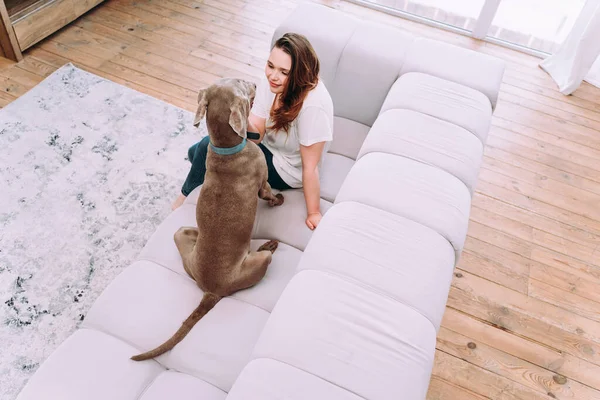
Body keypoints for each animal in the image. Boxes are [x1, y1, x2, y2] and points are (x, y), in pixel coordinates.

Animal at [131, 76, 284, 360]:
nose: (256, 83)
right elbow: (269, 194)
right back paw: (269, 244)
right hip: (258, 262)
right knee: (264, 254)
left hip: (181, 233)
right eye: (242, 84)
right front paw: (279, 200)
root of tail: (212, 291)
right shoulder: (263, 184)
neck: (226, 147)